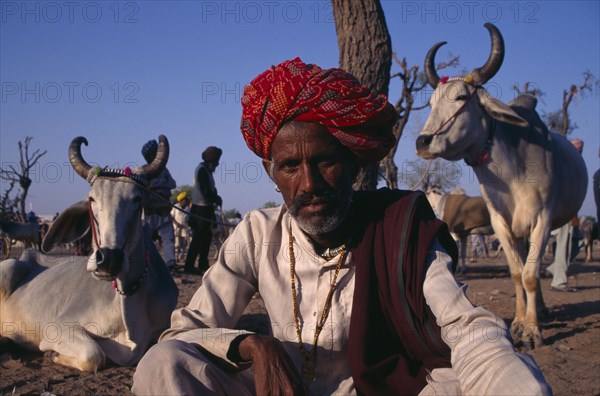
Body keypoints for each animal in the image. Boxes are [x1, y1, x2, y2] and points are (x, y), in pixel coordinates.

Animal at [0, 135, 178, 372]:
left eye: (136, 199)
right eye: (92, 199)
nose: (109, 258)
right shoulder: (58, 327)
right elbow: (94, 354)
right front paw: (52, 354)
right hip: (7, 267)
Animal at [414, 23, 588, 348]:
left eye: (461, 98)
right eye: (430, 103)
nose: (423, 141)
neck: (512, 175)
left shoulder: (542, 220)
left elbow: (530, 275)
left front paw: (531, 330)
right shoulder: (500, 224)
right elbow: (518, 274)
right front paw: (520, 322)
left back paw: (540, 311)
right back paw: (539, 309)